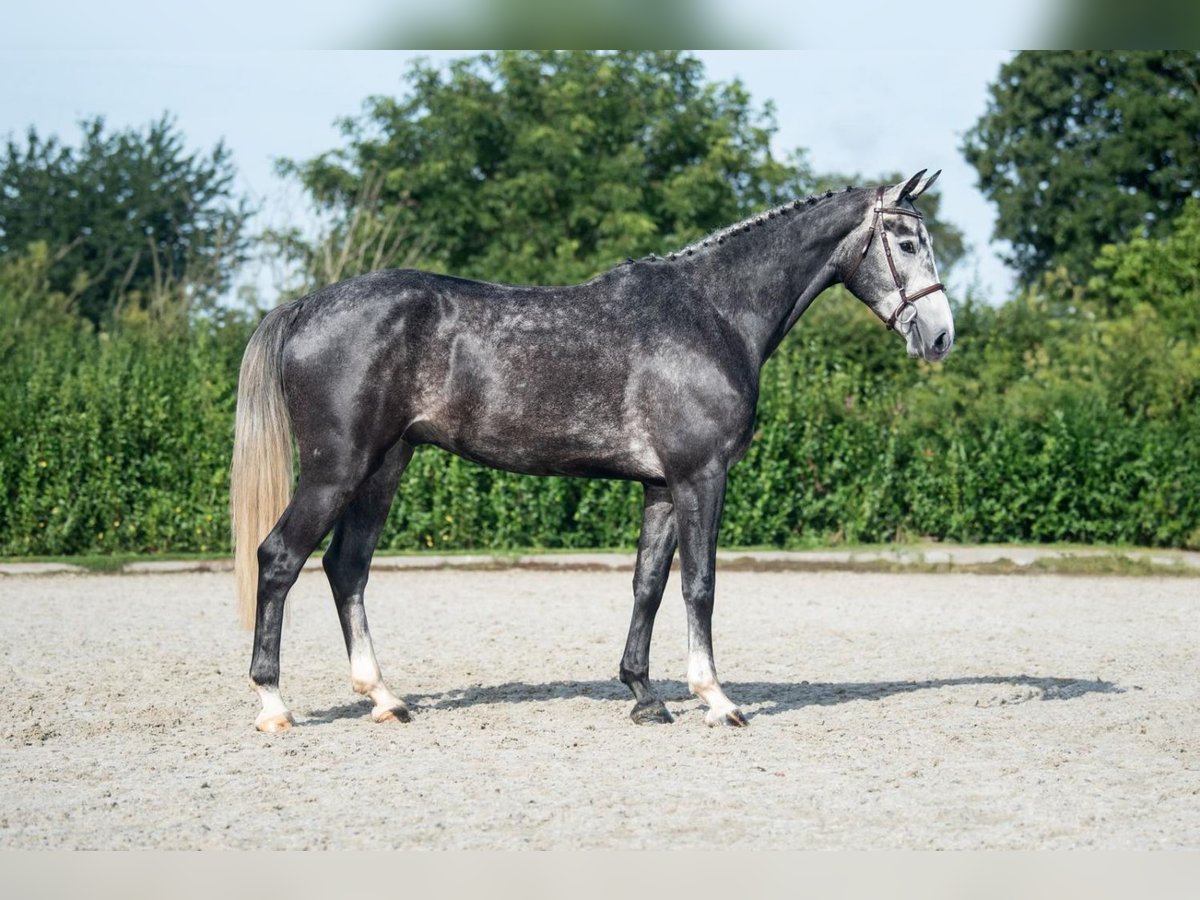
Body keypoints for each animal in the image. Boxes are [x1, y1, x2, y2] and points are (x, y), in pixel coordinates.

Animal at [229, 168, 950, 734]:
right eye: (907, 242)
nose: (940, 336)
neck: (713, 313)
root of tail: (305, 306)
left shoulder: (662, 486)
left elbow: (648, 585)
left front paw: (644, 695)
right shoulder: (701, 477)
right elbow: (701, 584)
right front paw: (716, 699)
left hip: (384, 467)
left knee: (346, 567)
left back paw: (383, 698)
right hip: (337, 468)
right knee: (281, 558)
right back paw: (274, 704)